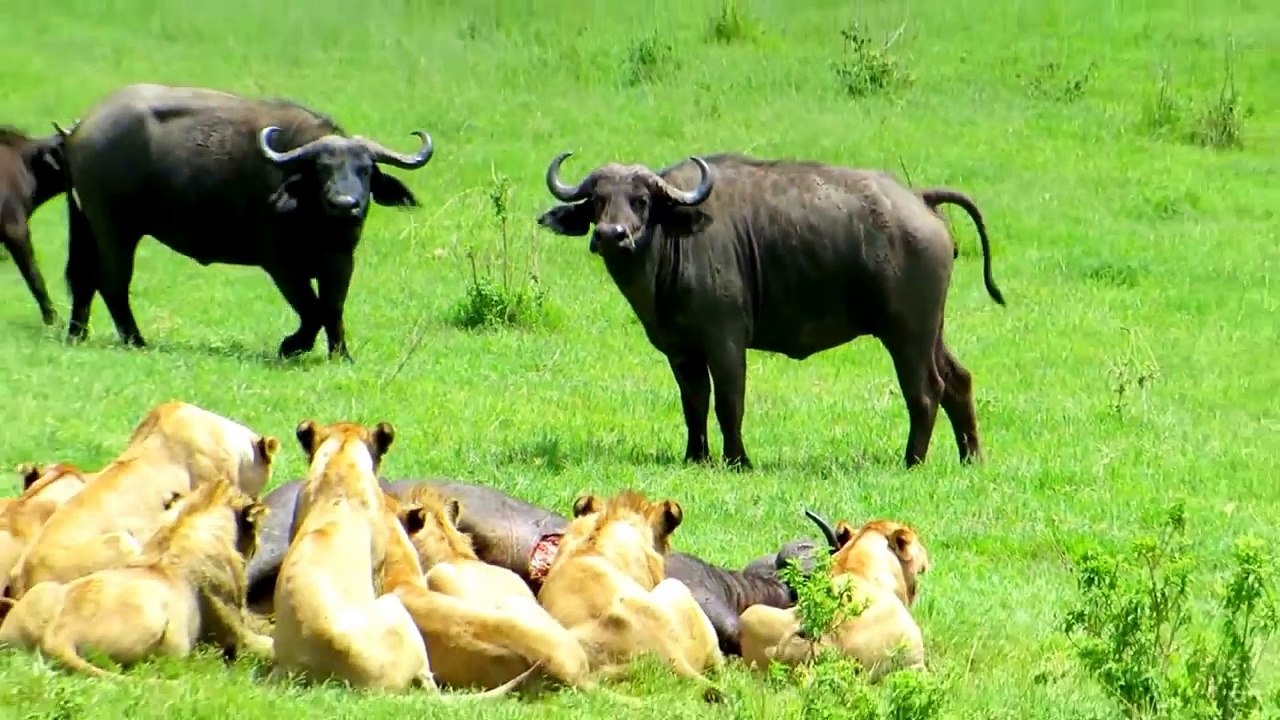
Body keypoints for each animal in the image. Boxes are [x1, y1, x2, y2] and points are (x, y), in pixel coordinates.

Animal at [0, 476, 273, 678]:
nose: (259, 545)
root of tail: (57, 636)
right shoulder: (236, 634)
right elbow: (265, 644)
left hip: (43, 593)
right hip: (159, 622)